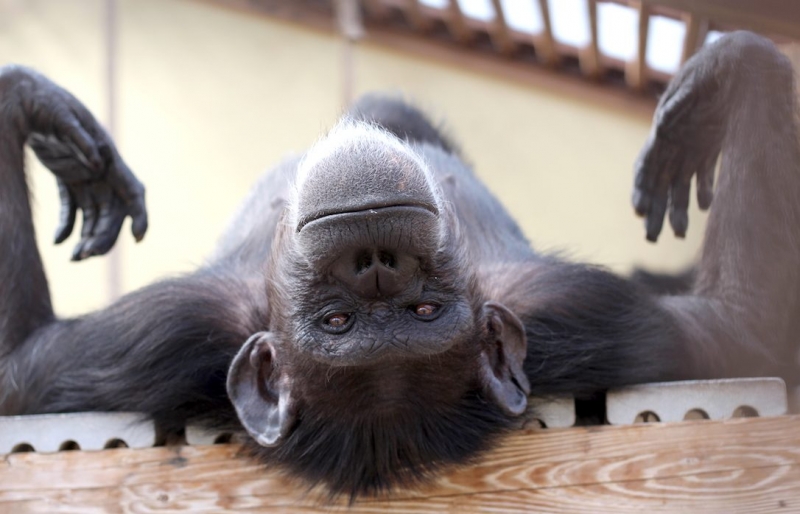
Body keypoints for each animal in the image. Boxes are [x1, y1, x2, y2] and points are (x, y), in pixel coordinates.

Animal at [0, 31, 798, 499]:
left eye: (422, 310)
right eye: (337, 321)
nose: (374, 260)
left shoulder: (582, 315)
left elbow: (738, 332)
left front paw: (725, 73)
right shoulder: (160, 341)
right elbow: (19, 367)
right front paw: (34, 105)